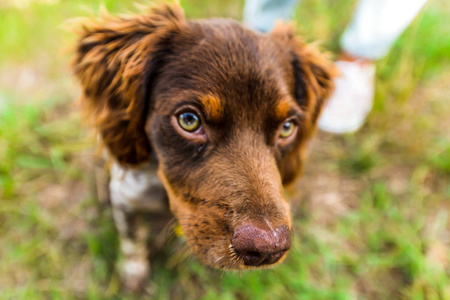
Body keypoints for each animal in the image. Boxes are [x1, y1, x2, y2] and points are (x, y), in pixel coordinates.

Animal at [72, 2, 336, 290]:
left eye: (287, 128)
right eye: (189, 120)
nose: (268, 249)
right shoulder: (125, 197)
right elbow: (132, 239)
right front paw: (134, 275)